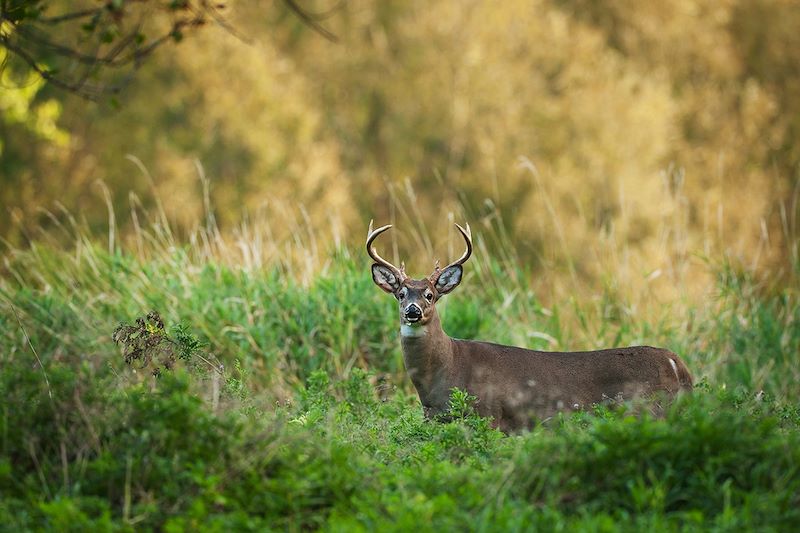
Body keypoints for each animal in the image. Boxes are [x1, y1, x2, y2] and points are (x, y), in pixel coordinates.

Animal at [368, 220, 692, 432]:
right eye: (400, 294)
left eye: (430, 295)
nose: (412, 312)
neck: (445, 371)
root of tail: (677, 363)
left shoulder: (488, 414)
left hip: (650, 410)